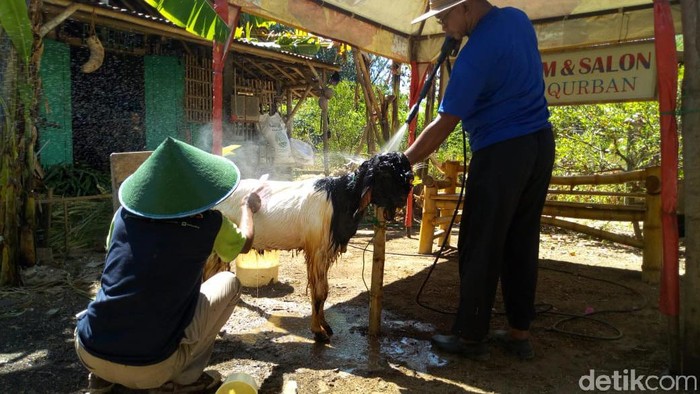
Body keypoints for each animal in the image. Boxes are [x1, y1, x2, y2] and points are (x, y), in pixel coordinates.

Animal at [208, 151, 416, 342]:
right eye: (385, 173)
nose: (404, 196)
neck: (340, 197)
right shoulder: (317, 249)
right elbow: (319, 292)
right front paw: (318, 331)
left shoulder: (325, 250)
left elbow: (324, 291)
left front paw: (324, 325)